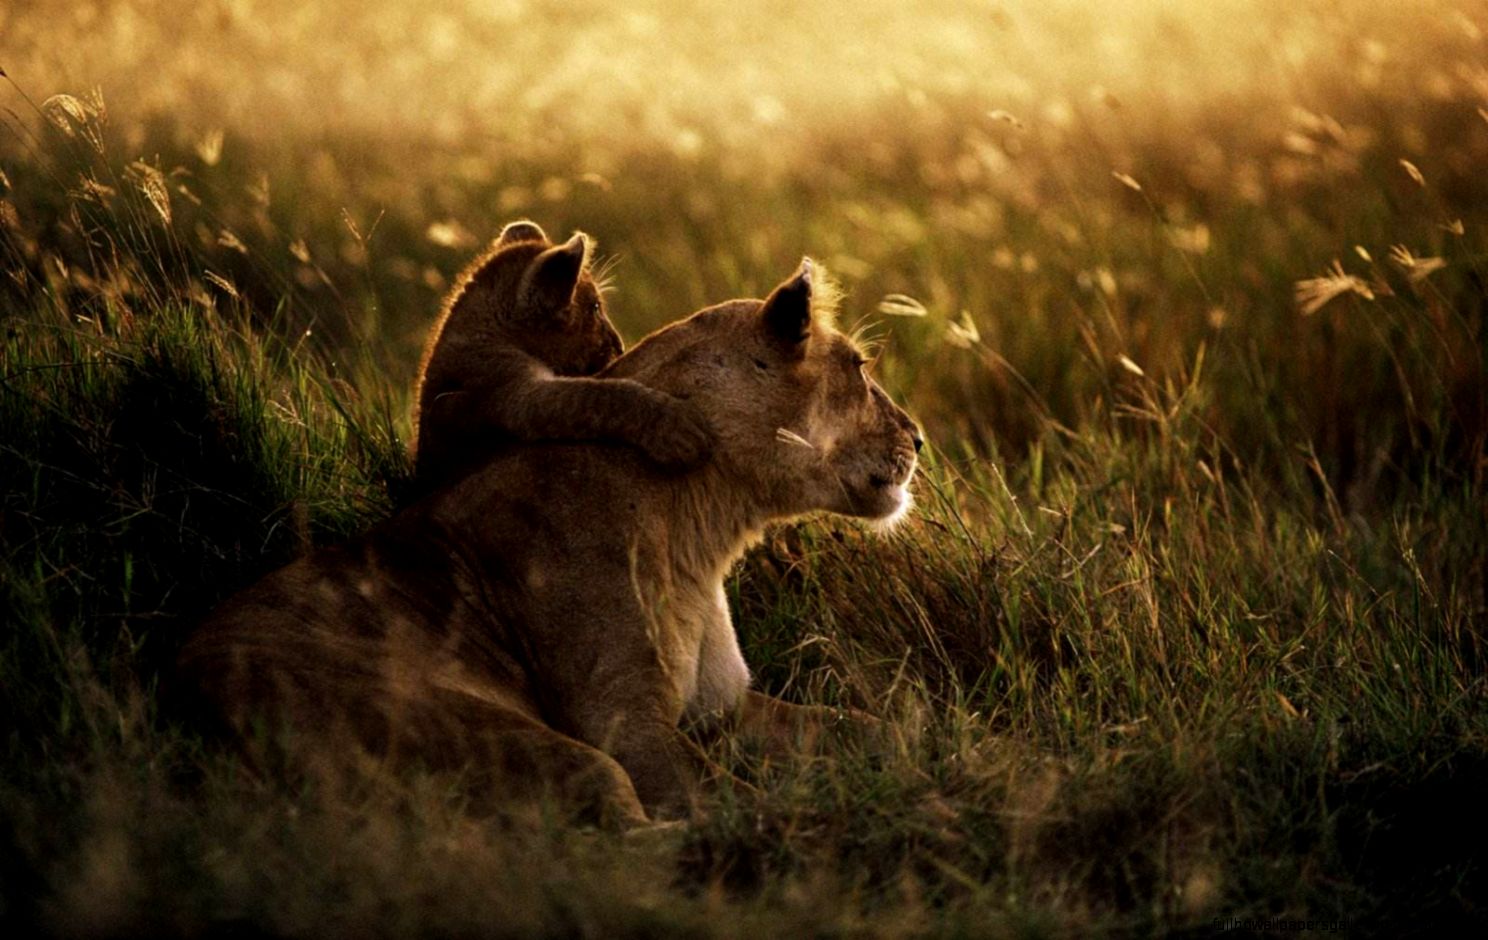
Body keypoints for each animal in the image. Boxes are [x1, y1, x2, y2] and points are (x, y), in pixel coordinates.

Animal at [178, 259, 921, 825]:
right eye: (859, 366)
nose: (918, 437)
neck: (704, 526)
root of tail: (181, 702)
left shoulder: (724, 707)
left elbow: (869, 725)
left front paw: (928, 750)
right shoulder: (625, 722)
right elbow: (730, 798)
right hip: (508, 737)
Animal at [412, 219, 713, 492]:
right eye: (594, 308)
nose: (620, 345)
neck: (486, 332)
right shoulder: (513, 395)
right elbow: (597, 396)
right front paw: (677, 428)